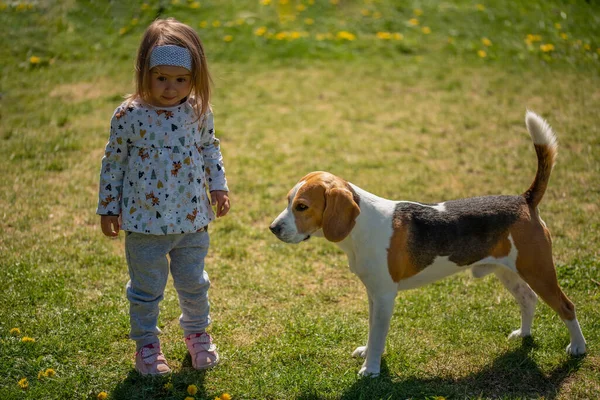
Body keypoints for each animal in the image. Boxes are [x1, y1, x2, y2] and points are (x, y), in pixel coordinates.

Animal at [270, 111, 584, 376]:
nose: (273, 229)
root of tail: (524, 199)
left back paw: (578, 348)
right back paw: (524, 335)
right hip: (507, 271)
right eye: (288, 201)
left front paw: (371, 369)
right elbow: (372, 329)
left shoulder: (385, 295)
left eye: (301, 206)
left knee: (567, 307)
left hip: (539, 270)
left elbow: (379, 334)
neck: (361, 226)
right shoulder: (373, 293)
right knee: (528, 299)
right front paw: (368, 353)